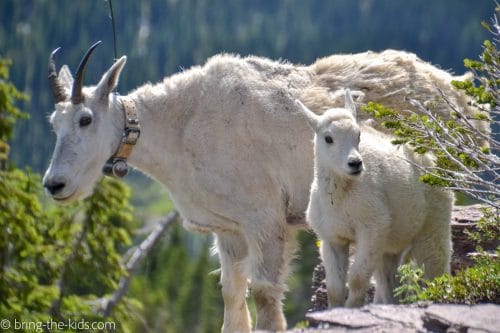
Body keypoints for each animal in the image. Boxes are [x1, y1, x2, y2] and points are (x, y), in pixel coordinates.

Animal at [294, 90, 456, 306]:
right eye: (328, 138)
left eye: (358, 135)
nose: (355, 163)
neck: (340, 196)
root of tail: (432, 159)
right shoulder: (332, 237)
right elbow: (335, 288)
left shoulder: (371, 227)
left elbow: (356, 279)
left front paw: (352, 308)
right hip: (392, 240)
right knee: (390, 280)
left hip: (433, 221)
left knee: (436, 267)